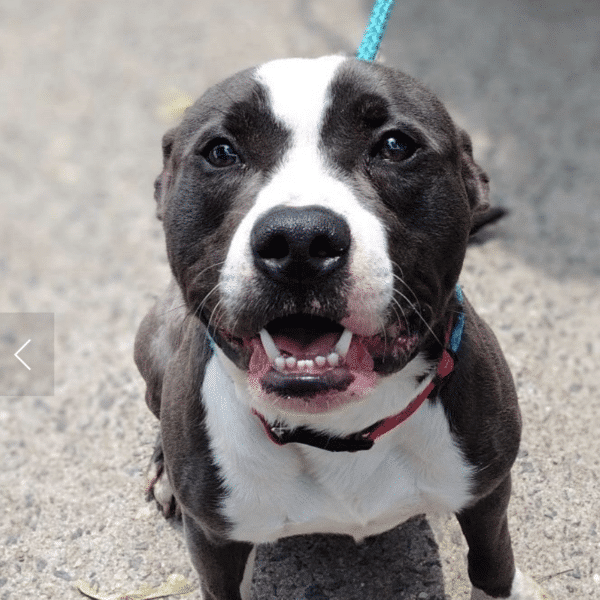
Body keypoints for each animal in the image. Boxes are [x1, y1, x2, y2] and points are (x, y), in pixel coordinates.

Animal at [134, 54, 552, 596]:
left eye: (395, 146)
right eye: (221, 152)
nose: (299, 240)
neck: (338, 430)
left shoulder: (488, 489)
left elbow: (492, 559)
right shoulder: (214, 541)